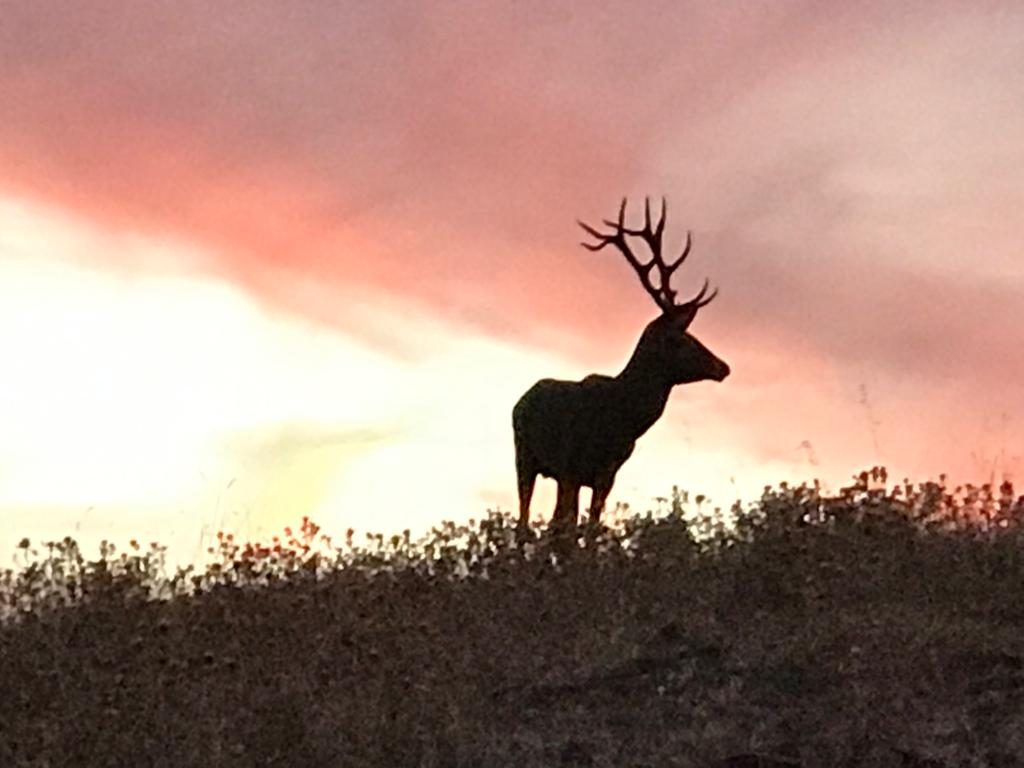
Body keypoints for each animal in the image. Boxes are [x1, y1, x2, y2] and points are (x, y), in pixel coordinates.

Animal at [512, 197, 730, 536]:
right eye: (681, 339)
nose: (723, 367)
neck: (623, 419)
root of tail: (520, 401)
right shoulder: (573, 464)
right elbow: (570, 527)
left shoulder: (607, 473)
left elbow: (587, 525)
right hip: (525, 455)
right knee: (526, 518)